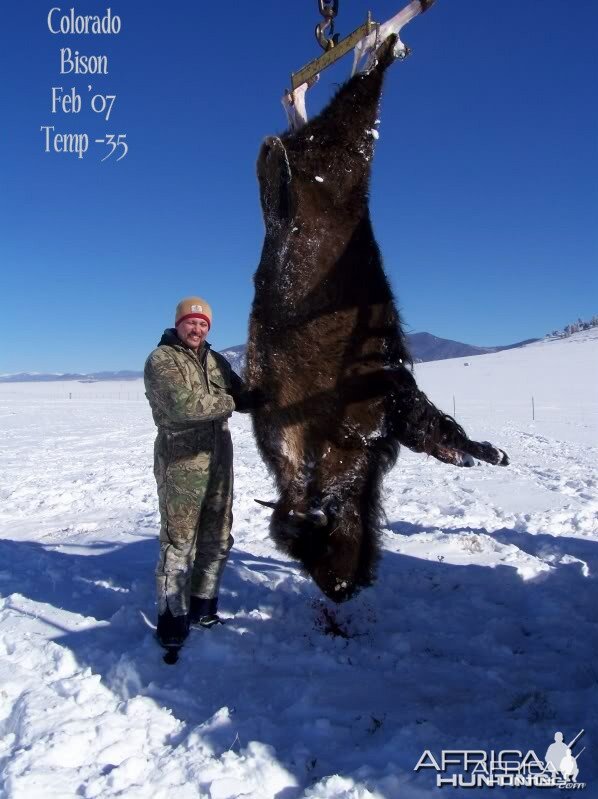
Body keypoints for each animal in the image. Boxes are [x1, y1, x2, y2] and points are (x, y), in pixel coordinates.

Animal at [246, 34, 508, 604]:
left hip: (345, 147)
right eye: (305, 555)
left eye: (317, 546)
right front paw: (482, 454)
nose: (341, 588)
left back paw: (381, 45)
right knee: (317, 111)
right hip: (333, 146)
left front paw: (485, 453)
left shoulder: (387, 405)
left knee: (346, 96)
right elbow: (435, 430)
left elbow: (441, 429)